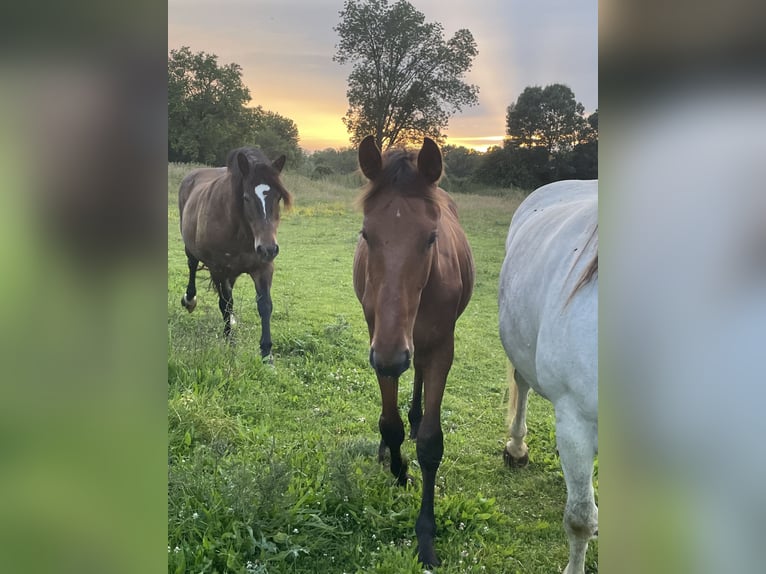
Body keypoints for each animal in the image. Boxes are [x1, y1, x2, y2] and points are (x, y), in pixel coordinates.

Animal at [178, 147, 292, 360]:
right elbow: (225, 304)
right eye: (246, 197)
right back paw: (190, 300)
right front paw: (230, 344)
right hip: (191, 248)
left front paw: (267, 354)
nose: (268, 249)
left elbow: (265, 306)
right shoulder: (219, 269)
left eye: (278, 197)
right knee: (192, 266)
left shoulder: (263, 267)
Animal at [354, 136, 474, 572]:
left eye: (430, 238)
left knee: (419, 378)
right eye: (366, 234)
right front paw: (397, 468)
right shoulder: (379, 341)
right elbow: (390, 424)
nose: (393, 358)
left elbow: (430, 443)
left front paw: (425, 535)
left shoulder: (440, 348)